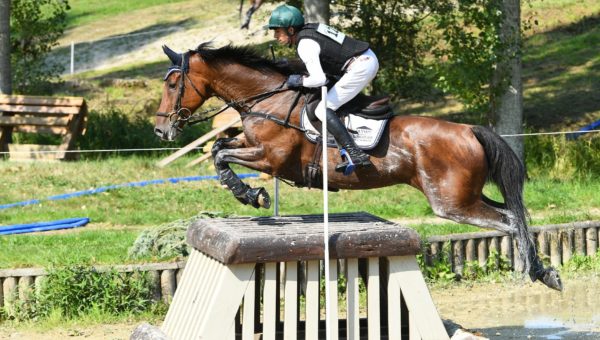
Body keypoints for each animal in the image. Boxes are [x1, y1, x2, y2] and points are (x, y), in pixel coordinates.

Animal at [154, 41, 564, 292]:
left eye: (173, 84)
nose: (161, 129)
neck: (268, 99)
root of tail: (469, 129)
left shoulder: (270, 158)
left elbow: (222, 155)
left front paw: (250, 194)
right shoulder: (253, 146)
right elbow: (219, 148)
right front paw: (247, 193)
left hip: (451, 203)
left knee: (508, 220)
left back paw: (535, 272)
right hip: (466, 195)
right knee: (512, 214)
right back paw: (541, 271)